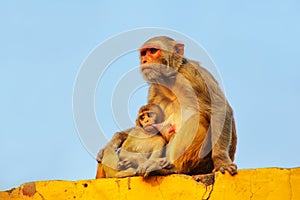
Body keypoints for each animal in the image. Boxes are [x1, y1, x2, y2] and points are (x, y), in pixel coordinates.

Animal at [96, 35, 237, 177]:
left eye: (153, 51)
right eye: (144, 53)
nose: (144, 60)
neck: (170, 79)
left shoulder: (194, 74)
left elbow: (219, 109)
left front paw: (221, 162)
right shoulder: (154, 89)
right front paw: (115, 140)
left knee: (196, 119)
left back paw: (170, 168)